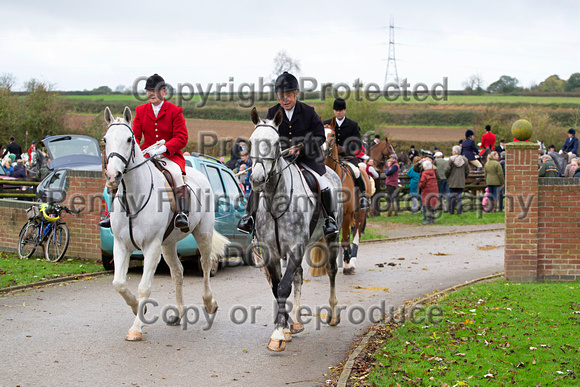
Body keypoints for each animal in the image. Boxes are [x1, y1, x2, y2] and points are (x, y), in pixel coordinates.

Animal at [103, 107, 228, 342]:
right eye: (105, 139)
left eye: (128, 139)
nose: (113, 175)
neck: (134, 198)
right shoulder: (121, 244)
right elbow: (119, 284)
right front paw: (137, 308)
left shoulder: (151, 245)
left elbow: (144, 287)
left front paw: (136, 328)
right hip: (168, 243)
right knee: (178, 272)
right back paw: (178, 314)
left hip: (203, 233)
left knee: (206, 265)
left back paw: (210, 303)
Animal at [249, 107, 344, 354]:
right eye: (251, 142)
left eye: (275, 144)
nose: (256, 179)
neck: (276, 201)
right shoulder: (271, 252)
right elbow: (277, 287)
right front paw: (284, 328)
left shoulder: (295, 247)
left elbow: (283, 287)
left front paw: (277, 335)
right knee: (299, 276)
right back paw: (297, 322)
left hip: (331, 235)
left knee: (331, 270)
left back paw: (332, 314)